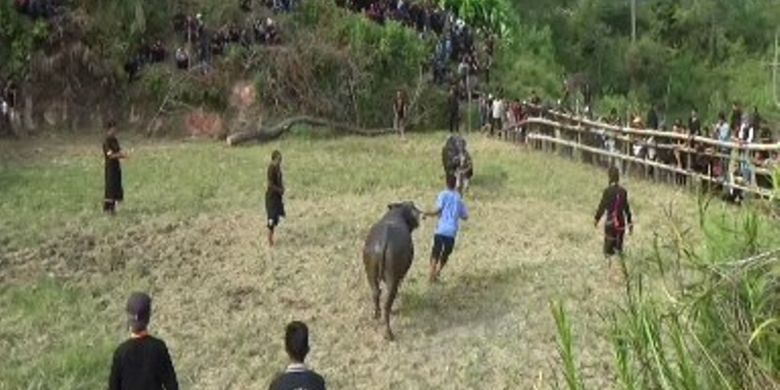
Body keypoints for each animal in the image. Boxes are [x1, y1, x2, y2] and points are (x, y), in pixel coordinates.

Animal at [362, 203, 420, 340]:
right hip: (392, 279)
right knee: (387, 304)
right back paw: (389, 333)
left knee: (376, 293)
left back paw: (376, 314)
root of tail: (382, 241)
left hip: (370, 274)